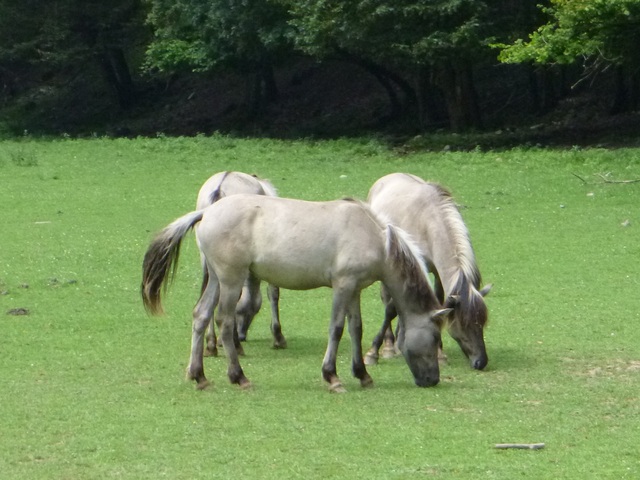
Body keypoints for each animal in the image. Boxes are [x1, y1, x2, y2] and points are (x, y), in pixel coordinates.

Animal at [141, 193, 452, 392]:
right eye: (435, 337)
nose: (432, 380)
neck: (373, 237)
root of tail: (207, 212)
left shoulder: (355, 289)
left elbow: (356, 328)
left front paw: (362, 374)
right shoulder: (342, 286)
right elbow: (336, 328)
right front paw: (332, 377)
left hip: (217, 280)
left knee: (201, 315)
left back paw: (199, 376)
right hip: (231, 280)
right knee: (225, 322)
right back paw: (238, 377)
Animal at [195, 171, 284, 354]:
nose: (243, 334)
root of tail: (220, 186)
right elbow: (273, 292)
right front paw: (278, 336)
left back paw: (212, 342)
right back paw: (232, 343)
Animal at [362, 173, 492, 372]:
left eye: (482, 322)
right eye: (463, 324)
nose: (481, 362)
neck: (431, 222)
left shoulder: (437, 272)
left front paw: (439, 353)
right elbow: (391, 309)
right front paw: (372, 352)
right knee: (387, 299)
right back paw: (389, 345)